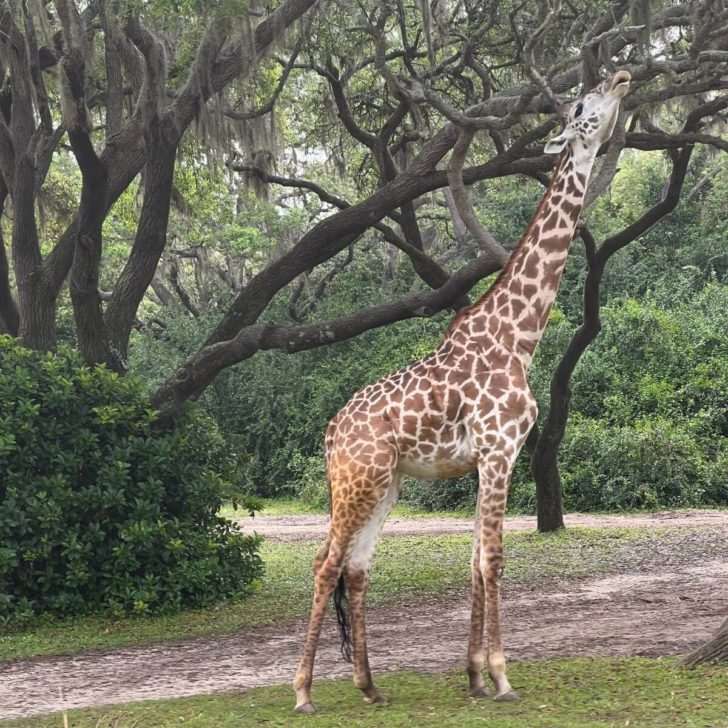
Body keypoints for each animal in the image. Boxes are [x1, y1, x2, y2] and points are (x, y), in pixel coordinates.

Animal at [292, 68, 628, 712]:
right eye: (582, 103)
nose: (623, 76)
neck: (519, 336)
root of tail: (329, 432)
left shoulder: (491, 457)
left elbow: (474, 558)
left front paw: (472, 675)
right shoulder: (499, 449)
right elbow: (493, 559)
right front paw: (500, 676)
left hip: (387, 484)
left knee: (357, 567)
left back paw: (369, 686)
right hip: (355, 481)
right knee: (325, 563)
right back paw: (302, 691)